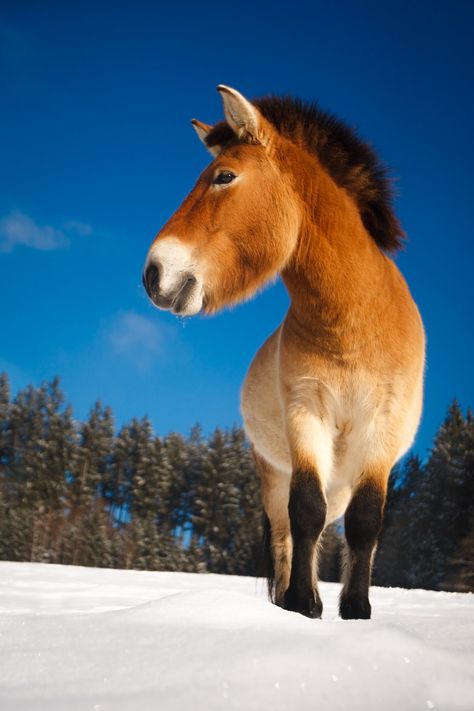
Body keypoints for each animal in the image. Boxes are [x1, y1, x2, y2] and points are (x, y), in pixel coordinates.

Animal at [143, 83, 424, 620]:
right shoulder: (306, 412)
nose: (153, 275)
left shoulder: (382, 425)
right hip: (274, 474)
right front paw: (302, 605)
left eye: (224, 176)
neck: (354, 322)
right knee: (287, 534)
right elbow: (305, 513)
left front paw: (356, 611)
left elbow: (365, 522)